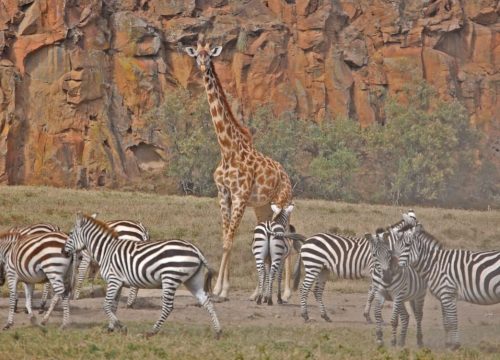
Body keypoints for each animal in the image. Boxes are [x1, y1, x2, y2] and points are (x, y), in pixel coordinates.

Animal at [61, 211, 222, 338]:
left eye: (70, 234)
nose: (63, 252)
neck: (106, 249)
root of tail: (195, 249)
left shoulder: (113, 280)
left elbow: (106, 305)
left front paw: (121, 327)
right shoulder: (119, 283)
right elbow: (113, 306)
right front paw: (111, 328)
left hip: (170, 278)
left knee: (168, 306)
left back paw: (151, 331)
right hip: (193, 280)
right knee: (207, 301)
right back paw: (218, 332)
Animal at [185, 40, 292, 300]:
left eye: (209, 55)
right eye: (196, 55)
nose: (202, 66)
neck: (227, 149)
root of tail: (287, 176)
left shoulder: (241, 195)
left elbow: (229, 240)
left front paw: (220, 289)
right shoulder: (224, 193)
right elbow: (226, 238)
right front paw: (219, 288)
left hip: (282, 202)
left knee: (287, 240)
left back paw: (285, 293)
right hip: (263, 208)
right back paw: (256, 293)